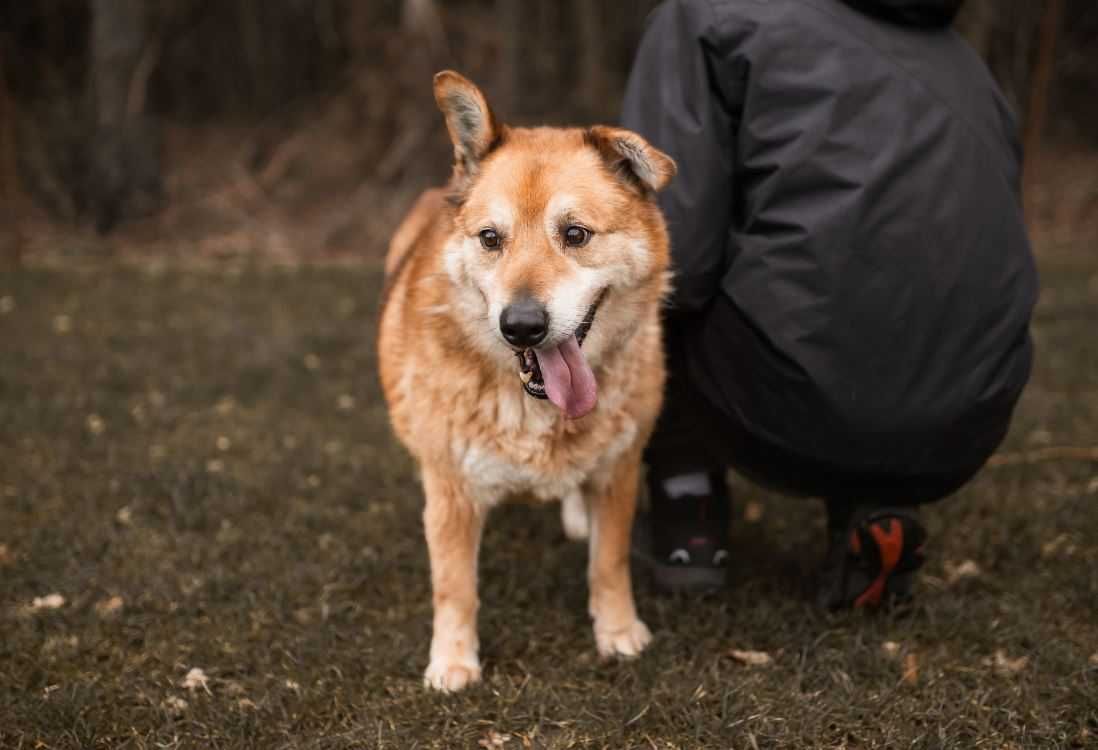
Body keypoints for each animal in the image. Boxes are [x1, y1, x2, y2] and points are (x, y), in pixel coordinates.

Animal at [379, 70, 676, 693]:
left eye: (576, 234)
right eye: (491, 239)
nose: (520, 326)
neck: (531, 406)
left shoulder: (619, 468)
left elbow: (610, 563)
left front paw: (618, 633)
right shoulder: (451, 488)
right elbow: (454, 586)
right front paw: (453, 662)